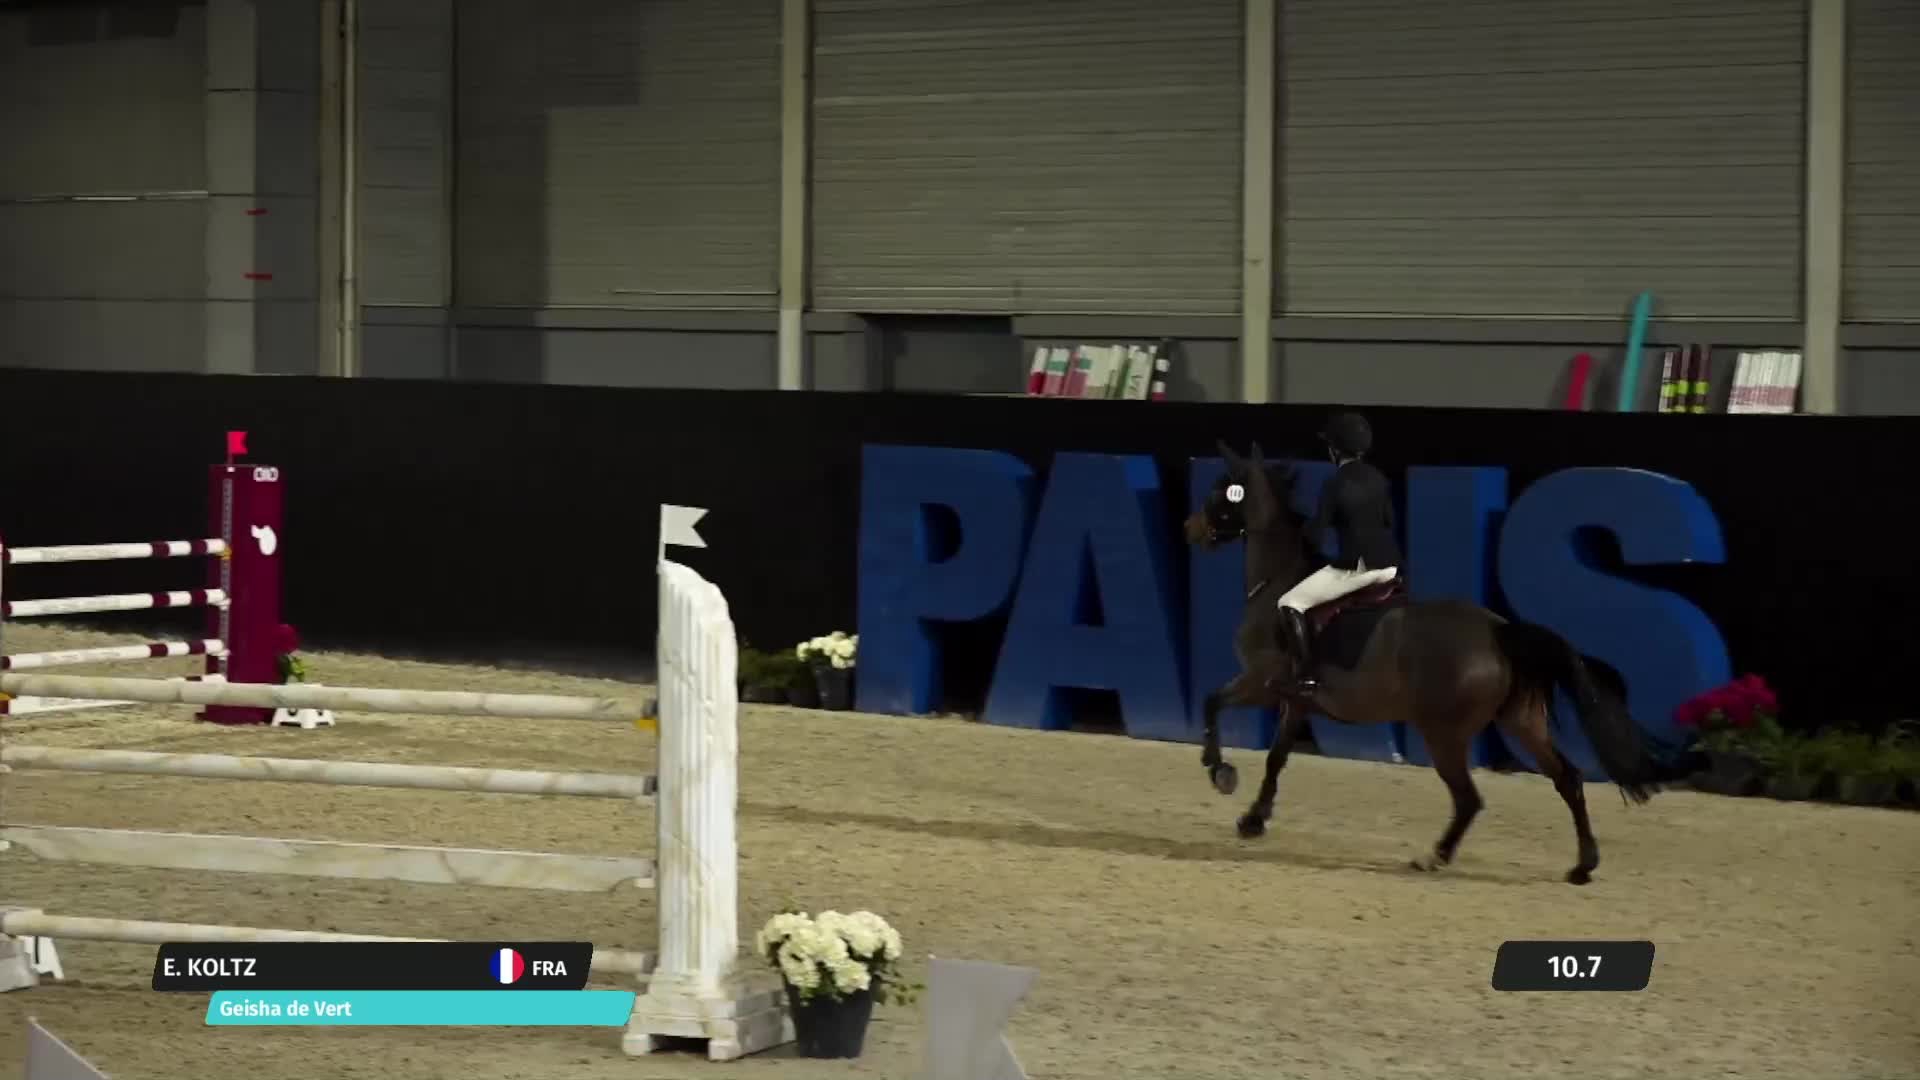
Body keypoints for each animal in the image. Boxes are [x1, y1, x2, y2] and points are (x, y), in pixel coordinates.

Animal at [1182, 439, 1680, 885]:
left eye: (1221, 491)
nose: (1191, 529)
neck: (1277, 580)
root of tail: (1498, 631)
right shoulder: (1297, 701)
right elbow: (1276, 758)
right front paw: (1253, 819)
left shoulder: (1262, 681)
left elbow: (1213, 702)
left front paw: (1220, 772)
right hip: (1521, 721)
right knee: (1568, 779)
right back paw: (1582, 867)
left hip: (1443, 733)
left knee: (1469, 798)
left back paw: (1434, 857)